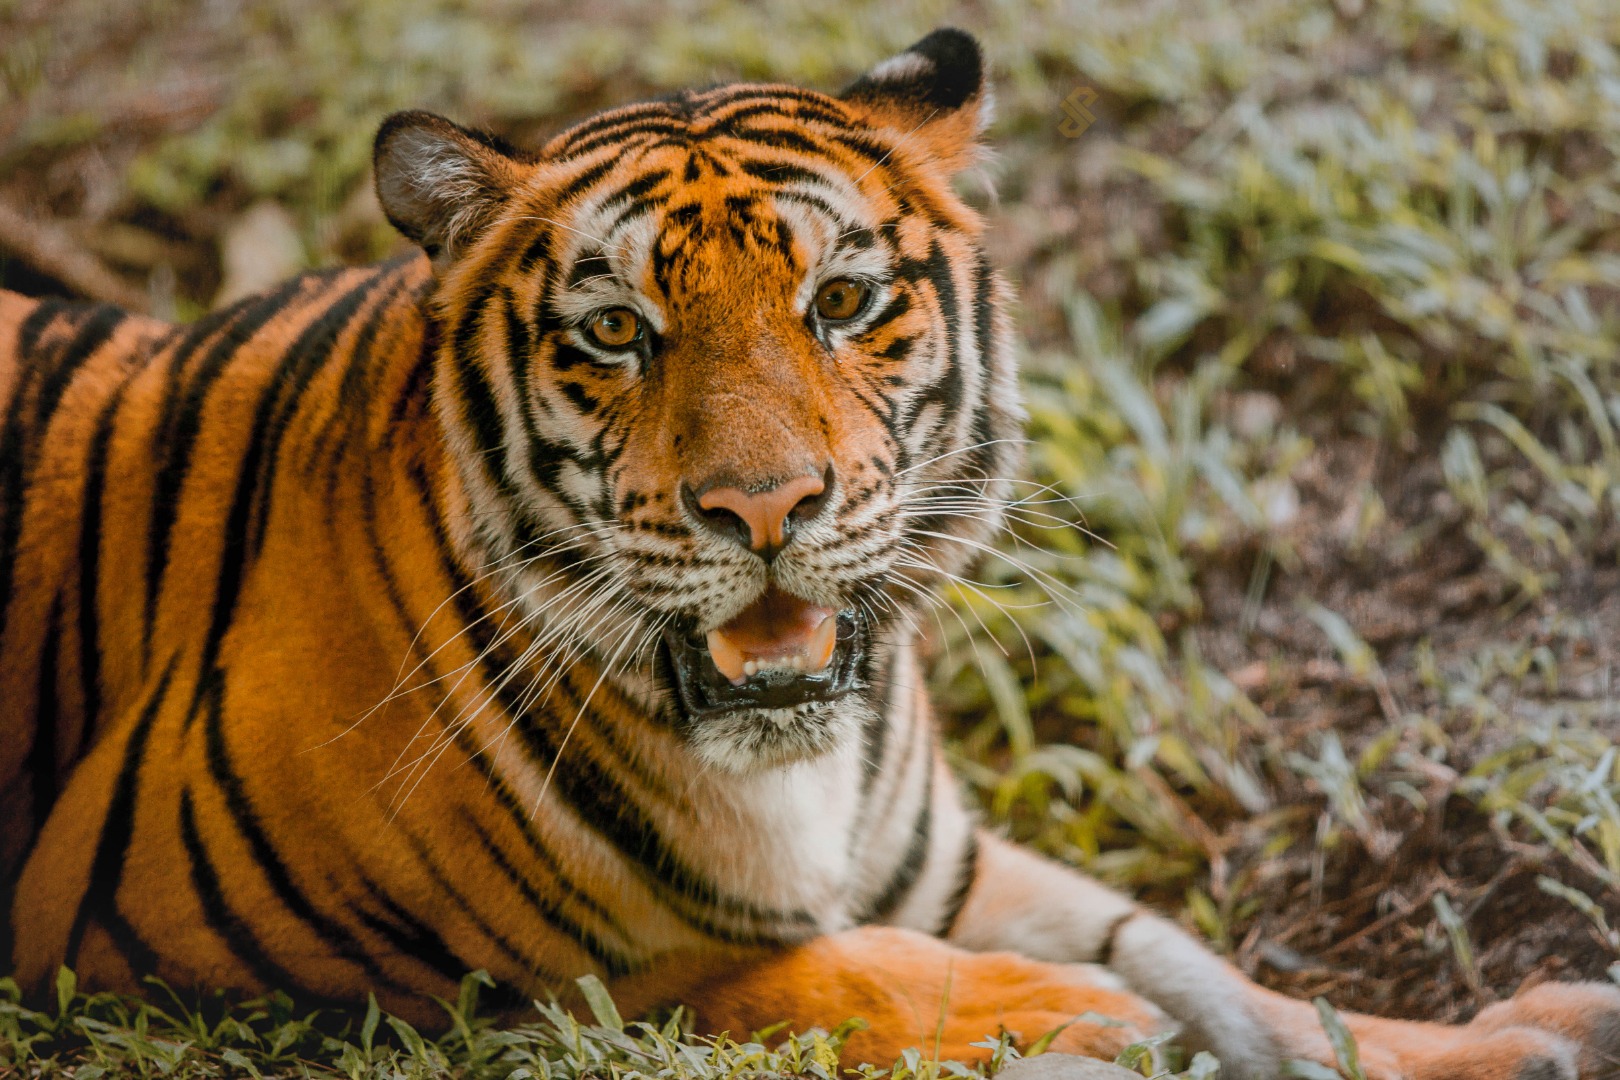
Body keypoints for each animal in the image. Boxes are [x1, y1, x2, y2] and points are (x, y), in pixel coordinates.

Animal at [0, 29, 1613, 1075]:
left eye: (841, 301)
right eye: (615, 331)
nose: (765, 509)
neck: (784, 771)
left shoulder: (940, 863)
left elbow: (1187, 953)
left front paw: (1524, 1036)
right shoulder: (173, 936)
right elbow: (764, 963)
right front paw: (1081, 1022)